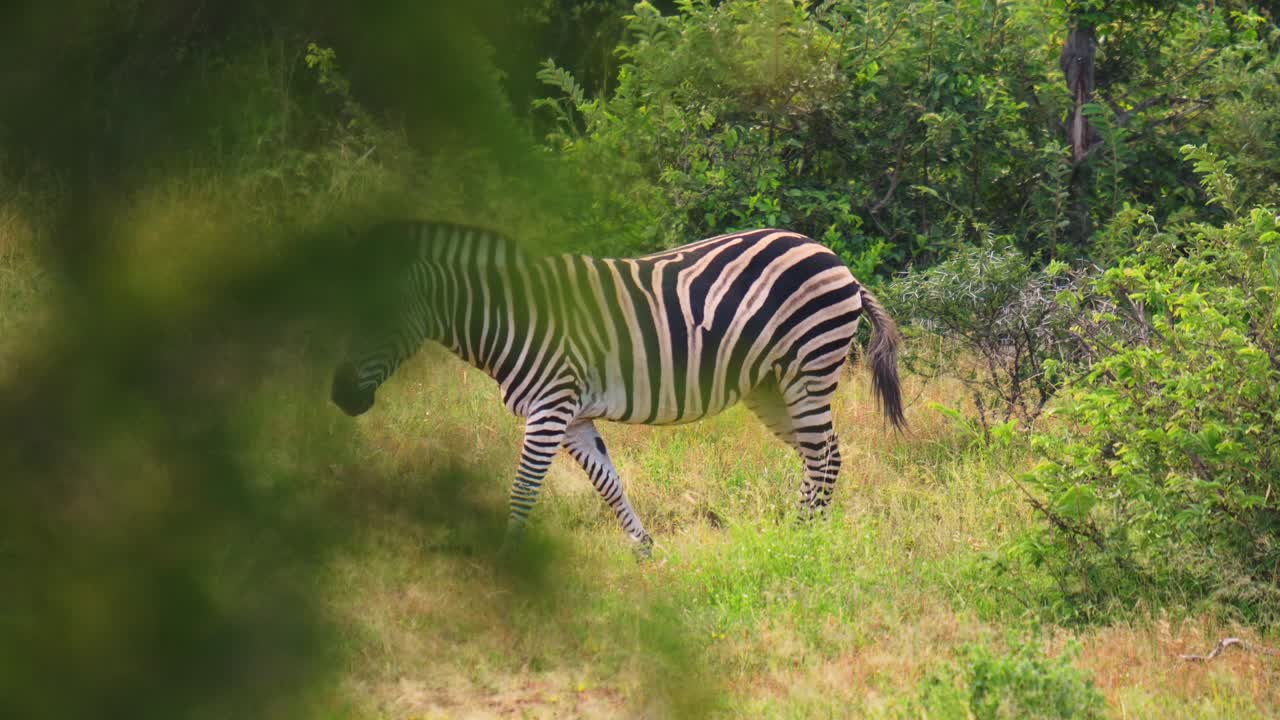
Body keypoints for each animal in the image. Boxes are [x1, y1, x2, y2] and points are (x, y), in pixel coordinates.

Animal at [331, 221, 905, 556]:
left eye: (377, 317)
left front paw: (507, 562)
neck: (507, 315)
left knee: (823, 457)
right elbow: (608, 482)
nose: (338, 397)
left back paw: (803, 541)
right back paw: (803, 531)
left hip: (807, 370)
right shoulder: (573, 415)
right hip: (771, 388)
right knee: (825, 454)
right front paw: (645, 548)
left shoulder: (549, 406)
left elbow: (524, 489)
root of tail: (832, 257)